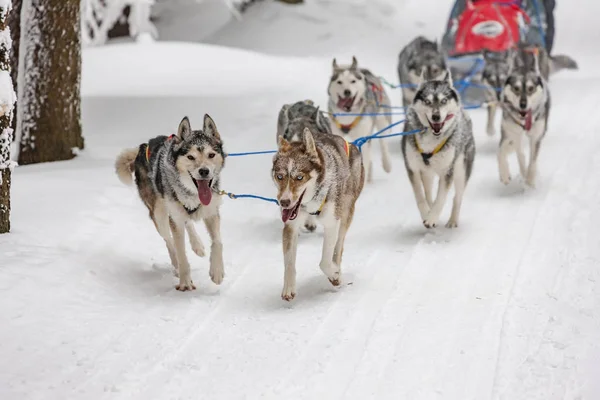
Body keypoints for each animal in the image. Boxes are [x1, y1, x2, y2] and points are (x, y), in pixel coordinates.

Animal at [115, 115, 225, 290]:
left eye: (211, 155)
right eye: (191, 157)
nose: (204, 171)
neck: (192, 193)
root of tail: (143, 147)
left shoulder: (212, 212)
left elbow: (218, 242)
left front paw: (217, 272)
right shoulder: (175, 222)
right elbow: (180, 252)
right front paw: (185, 282)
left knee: (188, 223)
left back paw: (197, 244)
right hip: (159, 215)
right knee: (169, 242)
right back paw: (177, 267)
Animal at [274, 128, 366, 300]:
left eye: (299, 177)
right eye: (279, 176)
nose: (284, 202)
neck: (311, 202)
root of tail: (351, 144)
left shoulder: (332, 223)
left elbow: (325, 261)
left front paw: (334, 274)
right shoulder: (290, 226)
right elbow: (289, 262)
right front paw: (288, 287)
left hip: (346, 212)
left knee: (338, 248)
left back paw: (336, 272)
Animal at [328, 56, 394, 184]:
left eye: (353, 81)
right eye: (339, 82)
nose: (347, 91)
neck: (348, 115)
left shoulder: (364, 138)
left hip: (383, 121)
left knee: (383, 144)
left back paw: (386, 165)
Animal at [400, 72, 476, 228]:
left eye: (444, 100)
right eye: (427, 101)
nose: (436, 116)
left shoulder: (448, 171)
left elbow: (441, 198)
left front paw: (432, 217)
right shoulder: (413, 168)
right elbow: (420, 196)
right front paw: (426, 214)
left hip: (461, 171)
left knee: (457, 197)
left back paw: (452, 221)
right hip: (427, 173)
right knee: (429, 194)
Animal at [500, 46, 552, 188]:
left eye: (531, 88)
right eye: (516, 88)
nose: (523, 104)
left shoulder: (536, 136)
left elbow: (532, 160)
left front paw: (530, 178)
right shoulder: (513, 134)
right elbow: (518, 155)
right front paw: (508, 174)